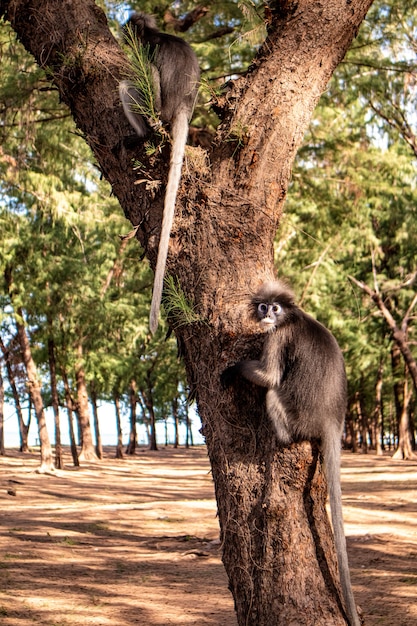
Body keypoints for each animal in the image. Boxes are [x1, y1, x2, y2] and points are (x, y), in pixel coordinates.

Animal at [118, 12, 200, 334]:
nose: (123, 33)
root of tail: (183, 106)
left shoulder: (146, 50)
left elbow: (146, 72)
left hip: (158, 108)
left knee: (130, 84)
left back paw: (142, 134)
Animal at [221, 280, 360, 624]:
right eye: (263, 306)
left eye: (275, 308)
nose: (267, 313)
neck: (291, 318)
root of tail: (332, 418)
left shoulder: (278, 336)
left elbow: (270, 376)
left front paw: (234, 369)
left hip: (296, 414)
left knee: (272, 392)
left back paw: (282, 438)